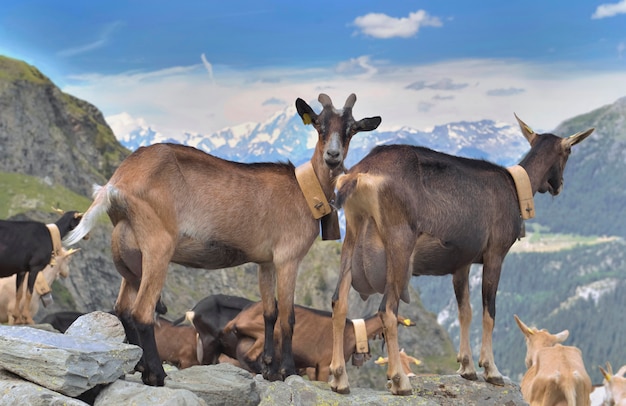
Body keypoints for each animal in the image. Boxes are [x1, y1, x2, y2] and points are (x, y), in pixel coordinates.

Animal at [218, 300, 410, 382]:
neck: (351, 332)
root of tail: (238, 318)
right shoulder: (325, 366)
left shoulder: (316, 368)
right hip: (271, 332)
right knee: (251, 357)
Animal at [330, 113, 592, 394]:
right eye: (568, 151)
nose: (558, 186)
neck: (515, 187)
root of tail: (359, 174)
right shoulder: (495, 254)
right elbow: (489, 312)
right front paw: (490, 370)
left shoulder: (462, 264)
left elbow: (464, 311)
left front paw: (467, 367)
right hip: (399, 242)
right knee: (387, 310)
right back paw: (399, 381)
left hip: (352, 236)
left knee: (339, 302)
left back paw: (339, 380)